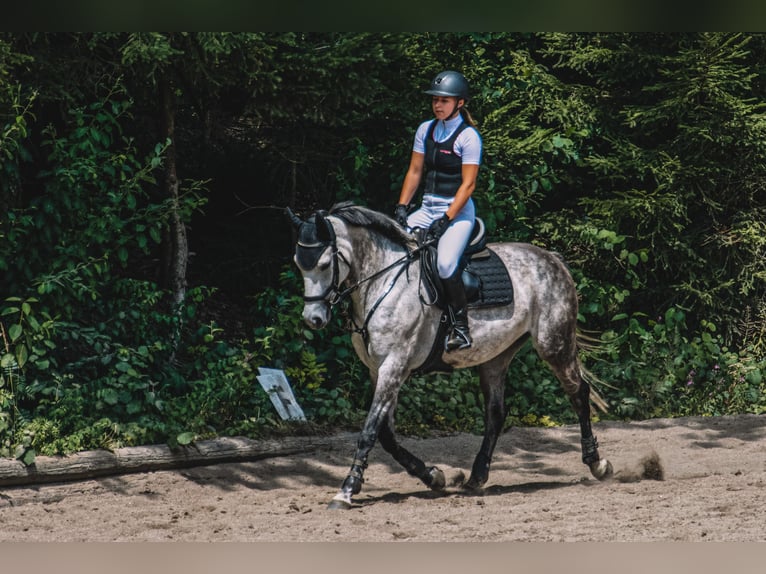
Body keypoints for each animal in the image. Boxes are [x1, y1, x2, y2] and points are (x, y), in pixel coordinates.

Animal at [284, 200, 616, 510]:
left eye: (325, 264)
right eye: (299, 264)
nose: (313, 319)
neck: (382, 282)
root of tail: (552, 259)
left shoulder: (394, 366)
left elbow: (370, 431)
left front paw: (347, 489)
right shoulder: (378, 369)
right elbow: (386, 435)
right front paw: (435, 476)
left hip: (553, 344)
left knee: (578, 393)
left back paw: (597, 464)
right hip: (496, 356)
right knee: (496, 413)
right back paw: (476, 476)